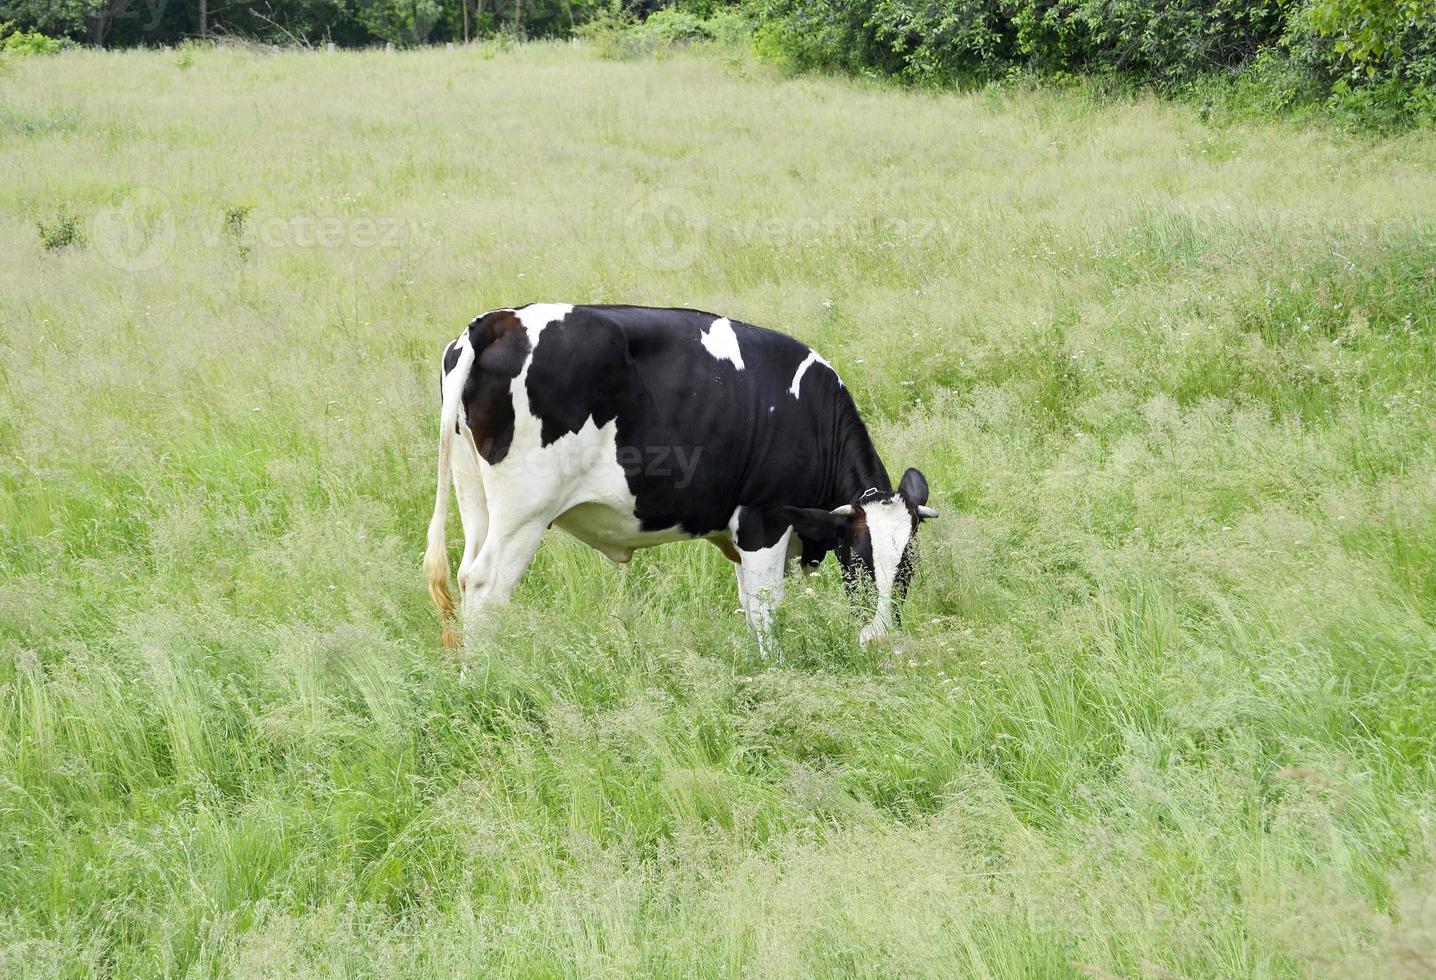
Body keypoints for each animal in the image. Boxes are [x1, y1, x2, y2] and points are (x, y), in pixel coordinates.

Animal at [422, 303, 942, 655]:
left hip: (476, 498)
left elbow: (749, 606)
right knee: (487, 588)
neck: (809, 413)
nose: (878, 642)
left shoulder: (739, 535)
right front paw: (774, 667)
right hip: (524, 511)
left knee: (466, 577)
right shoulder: (764, 519)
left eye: (908, 570)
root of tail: (496, 321)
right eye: (857, 563)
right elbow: (766, 607)